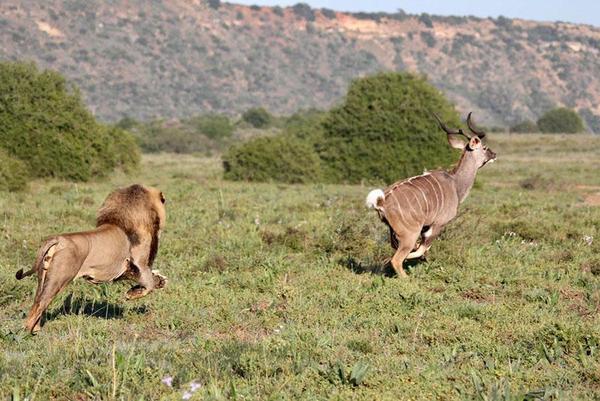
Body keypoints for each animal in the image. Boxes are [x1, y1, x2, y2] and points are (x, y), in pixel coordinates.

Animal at [16, 184, 166, 332]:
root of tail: (58, 240)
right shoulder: (140, 263)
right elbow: (149, 284)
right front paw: (132, 294)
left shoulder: (126, 270)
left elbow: (150, 280)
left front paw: (160, 280)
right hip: (59, 278)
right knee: (39, 305)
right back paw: (28, 332)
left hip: (43, 277)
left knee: (37, 301)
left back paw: (35, 329)